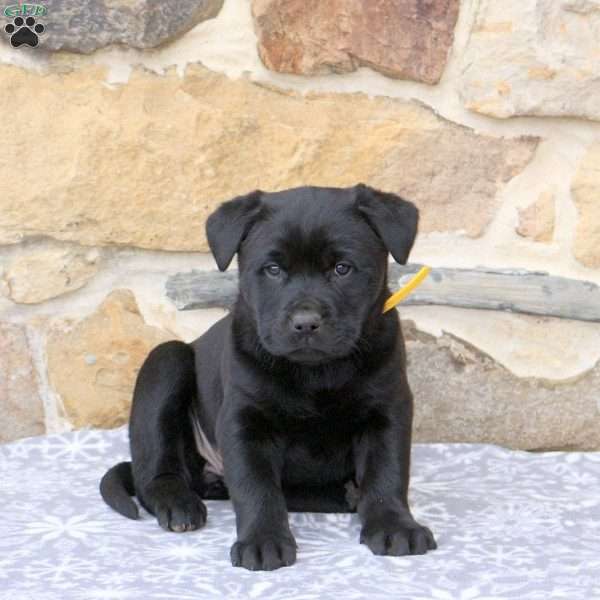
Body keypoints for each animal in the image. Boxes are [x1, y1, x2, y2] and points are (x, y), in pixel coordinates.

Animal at [102, 185, 436, 568]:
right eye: (273, 269)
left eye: (342, 269)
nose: (305, 322)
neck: (315, 373)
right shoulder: (244, 421)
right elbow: (256, 487)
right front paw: (263, 541)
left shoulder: (387, 410)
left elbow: (387, 474)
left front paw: (395, 526)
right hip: (165, 362)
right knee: (153, 474)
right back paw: (178, 504)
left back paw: (349, 494)